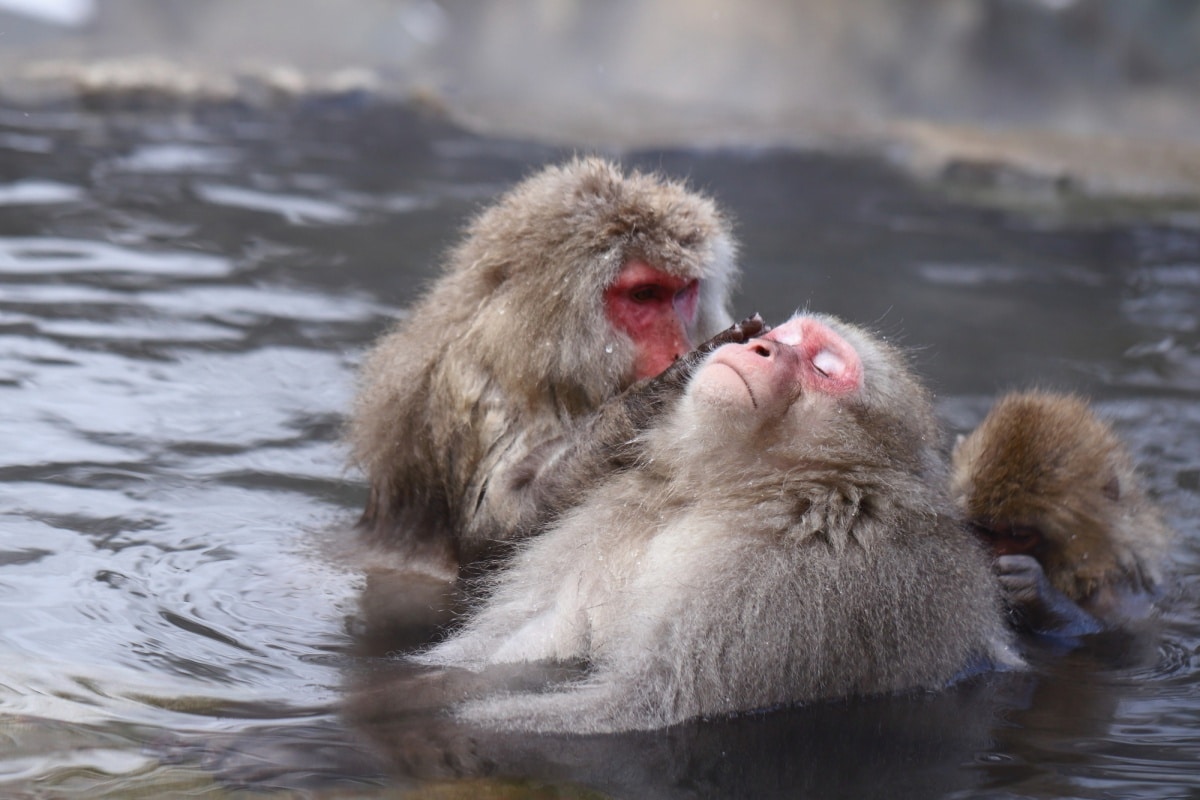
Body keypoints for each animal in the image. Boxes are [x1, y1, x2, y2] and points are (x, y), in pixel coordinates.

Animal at [415, 311, 1022, 734]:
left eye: (822, 366)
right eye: (785, 335)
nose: (759, 345)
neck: (732, 491)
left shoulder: (798, 580)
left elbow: (645, 704)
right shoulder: (617, 520)